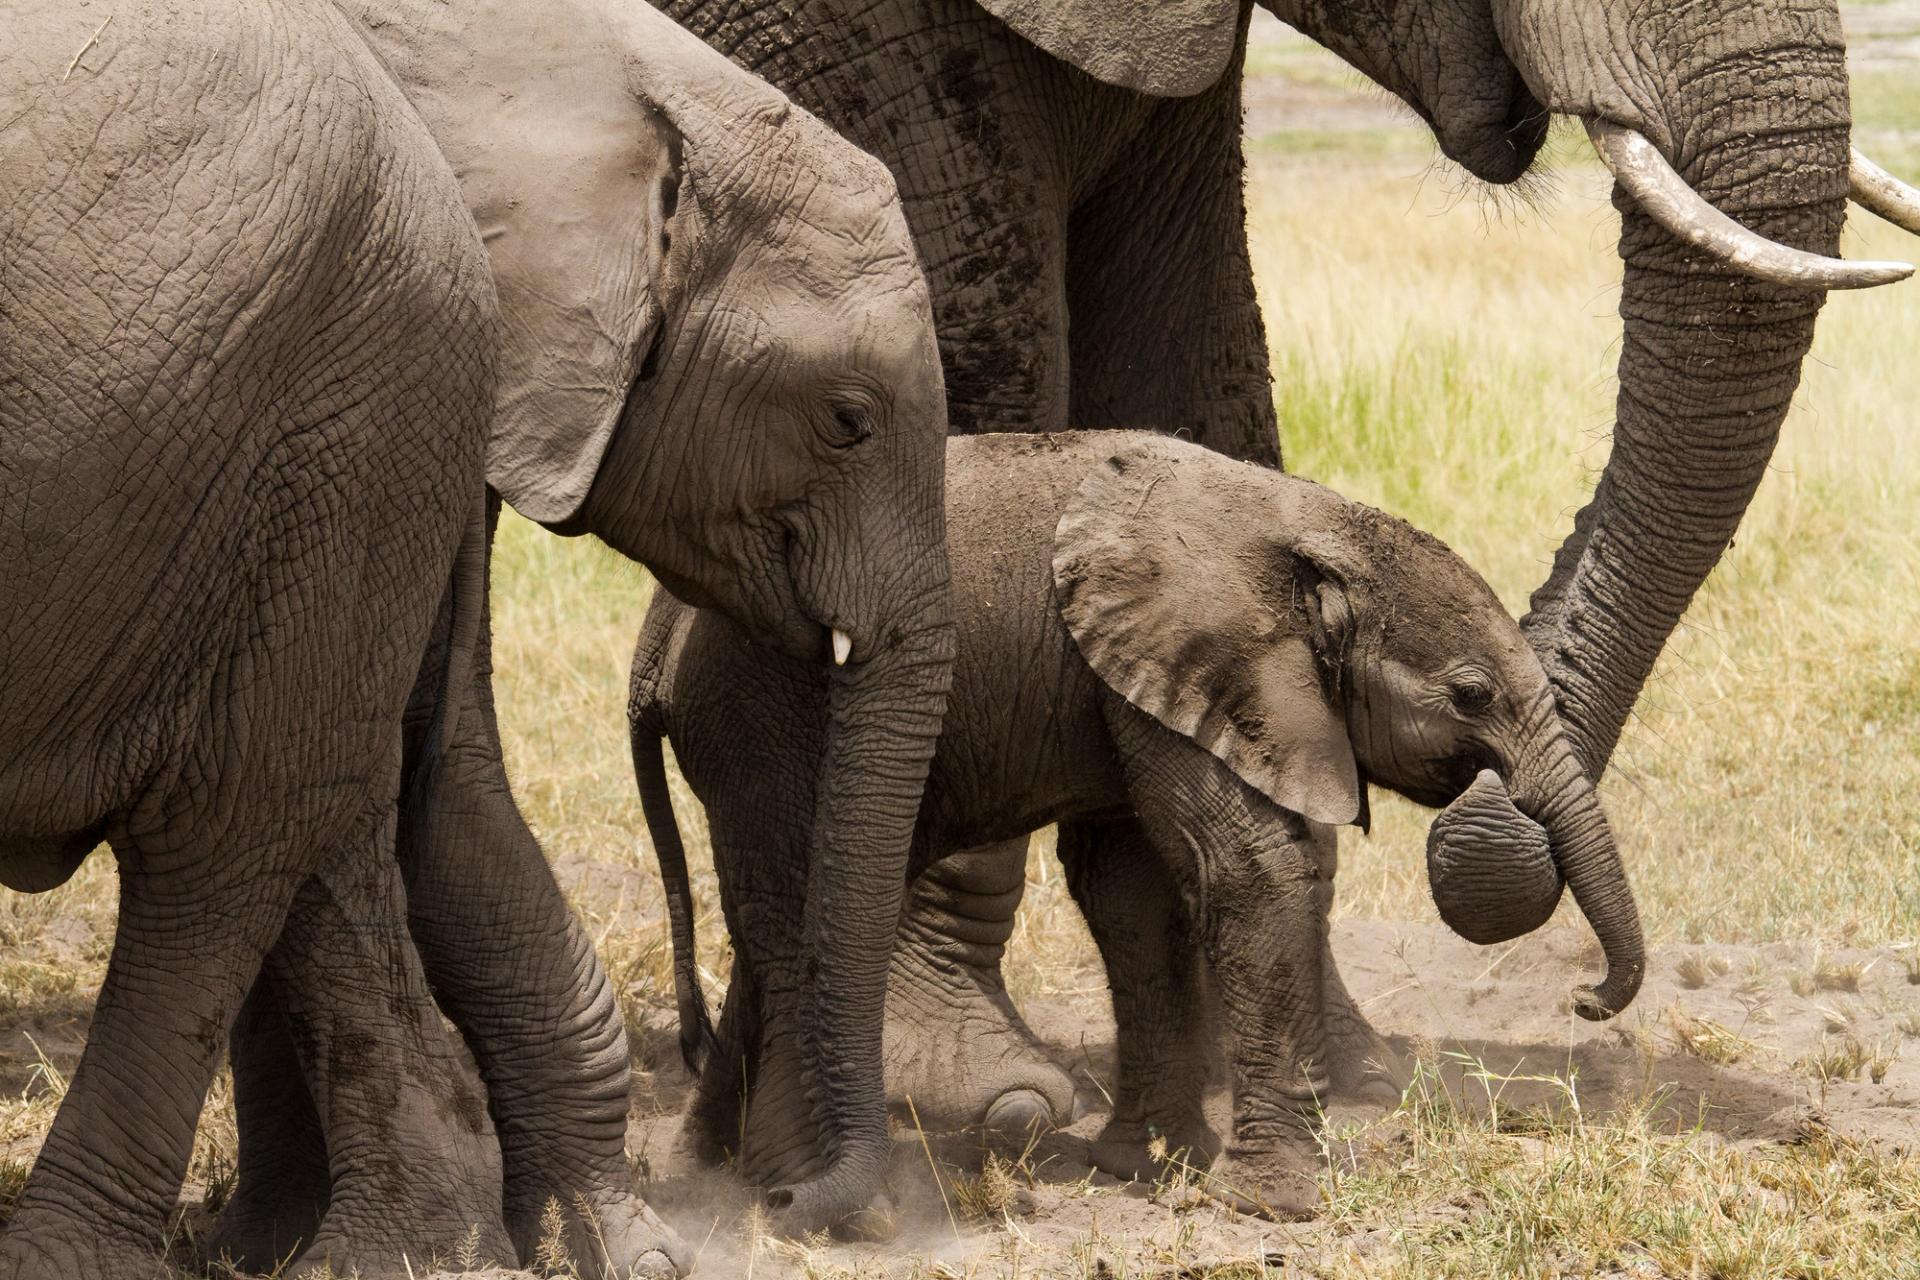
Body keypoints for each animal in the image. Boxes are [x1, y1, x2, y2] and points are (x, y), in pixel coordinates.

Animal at [629, 430, 1644, 1221]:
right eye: (1471, 694)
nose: (1586, 999)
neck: (1307, 523)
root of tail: (654, 635)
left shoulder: (1136, 677)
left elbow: (1137, 891)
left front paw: (1152, 1165)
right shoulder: (1196, 660)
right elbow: (1249, 869)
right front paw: (1270, 1206)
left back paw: (713, 1171)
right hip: (760, 711)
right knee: (789, 907)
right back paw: (794, 1188)